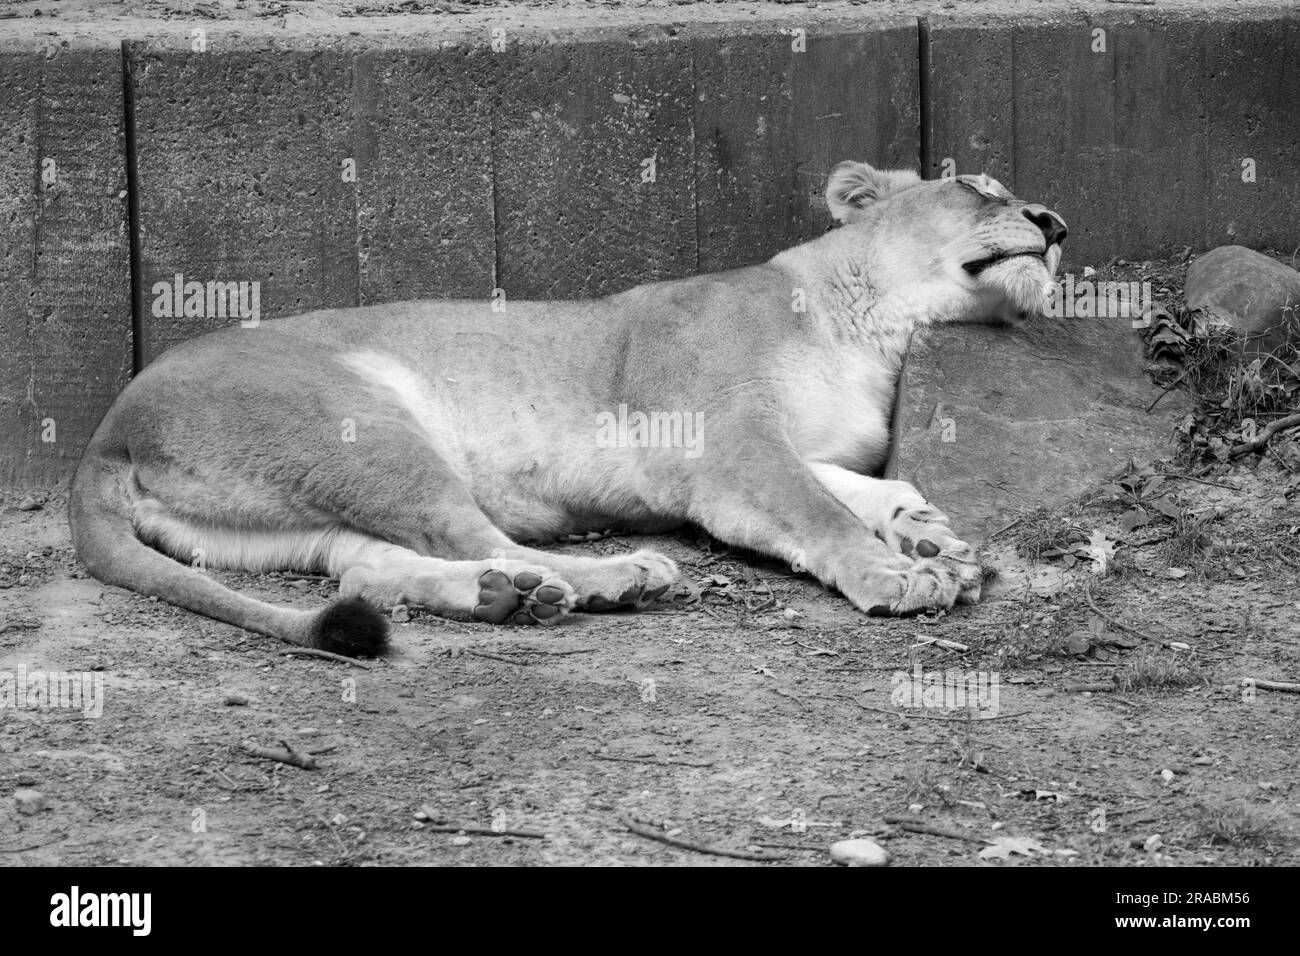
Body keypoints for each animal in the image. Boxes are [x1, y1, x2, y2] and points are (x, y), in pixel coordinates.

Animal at [69, 163, 1066, 656]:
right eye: (979, 188)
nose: (1056, 223)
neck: (873, 326)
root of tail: (104, 435)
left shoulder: (793, 449)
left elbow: (864, 490)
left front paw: (935, 541)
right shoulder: (728, 450)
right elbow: (819, 513)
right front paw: (900, 575)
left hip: (297, 513)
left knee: (368, 571)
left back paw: (506, 597)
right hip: (365, 427)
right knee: (468, 534)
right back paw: (615, 578)